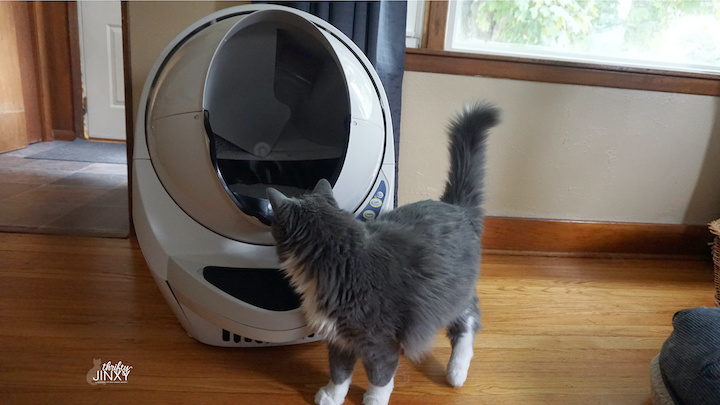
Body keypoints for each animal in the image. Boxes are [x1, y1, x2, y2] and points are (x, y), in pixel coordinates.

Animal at [266, 103, 500, 404]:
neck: (342, 260)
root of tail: (455, 207)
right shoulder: (339, 337)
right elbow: (339, 372)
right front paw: (331, 396)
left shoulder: (378, 342)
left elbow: (379, 377)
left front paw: (373, 400)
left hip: (451, 296)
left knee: (469, 320)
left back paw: (456, 371)